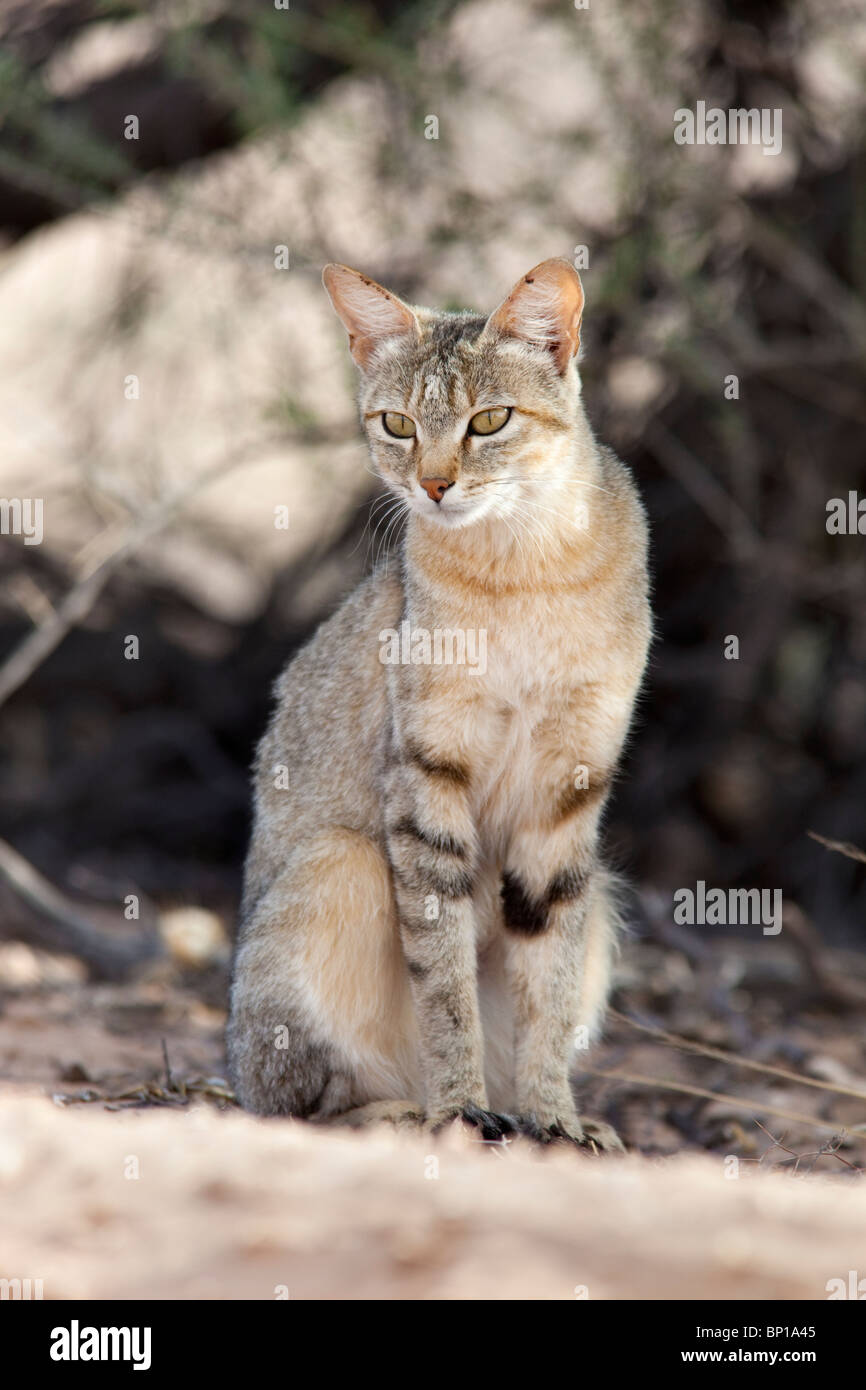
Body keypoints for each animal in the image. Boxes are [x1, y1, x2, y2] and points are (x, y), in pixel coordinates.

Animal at [226, 255, 653, 1145]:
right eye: (395, 424)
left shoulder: (569, 794)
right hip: (339, 863)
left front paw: (552, 1113)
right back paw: (404, 1111)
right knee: (288, 1103)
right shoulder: (426, 777)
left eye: (489, 421)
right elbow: (444, 976)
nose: (433, 486)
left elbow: (548, 982)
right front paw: (459, 1104)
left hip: (602, 890)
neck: (524, 570)